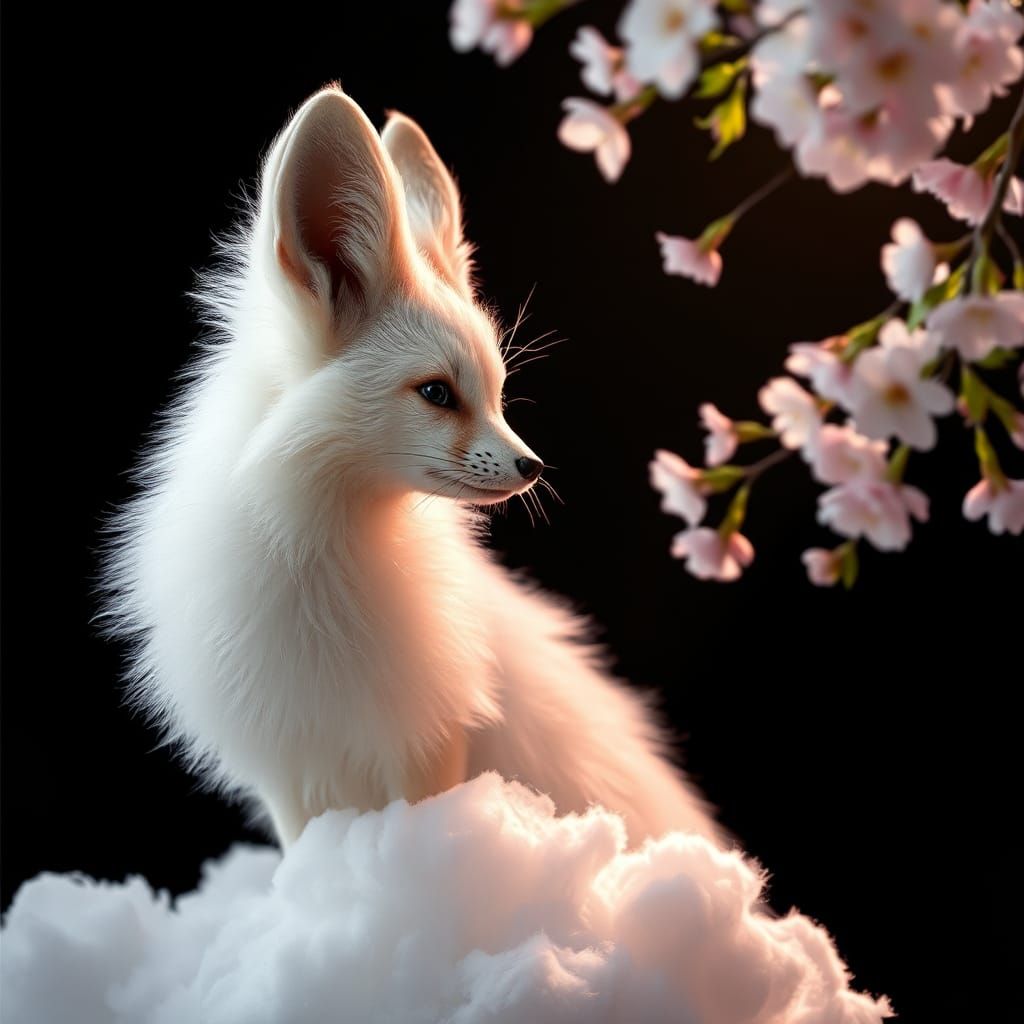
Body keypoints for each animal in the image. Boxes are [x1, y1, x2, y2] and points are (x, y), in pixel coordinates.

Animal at [99, 84, 724, 849]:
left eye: (497, 394)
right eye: (437, 393)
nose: (533, 465)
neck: (324, 562)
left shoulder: (428, 742)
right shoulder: (290, 770)